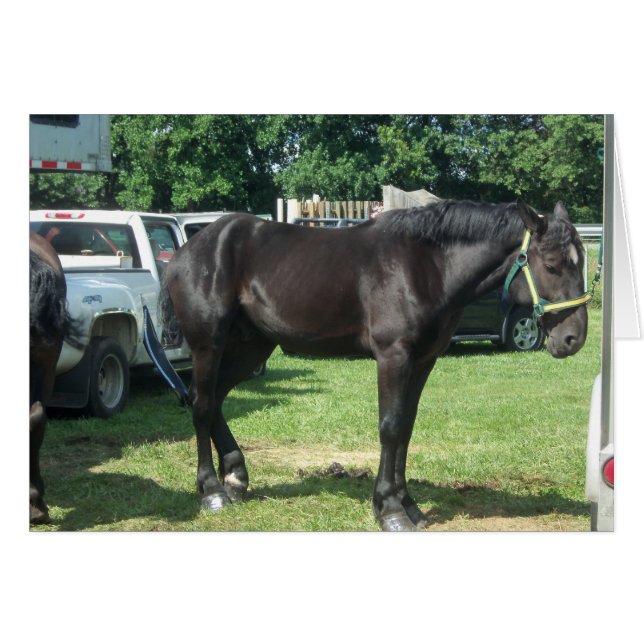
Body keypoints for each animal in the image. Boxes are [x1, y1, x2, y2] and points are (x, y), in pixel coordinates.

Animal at [159, 199, 589, 531]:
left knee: (213, 398)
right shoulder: (393, 356)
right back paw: (212, 491)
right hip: (209, 345)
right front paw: (390, 509)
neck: (427, 266)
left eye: (582, 261)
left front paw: (409, 504)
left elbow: (406, 429)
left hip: (252, 347)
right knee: (201, 404)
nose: (574, 339)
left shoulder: (423, 361)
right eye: (552, 265)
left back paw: (235, 476)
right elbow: (390, 426)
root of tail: (186, 251)